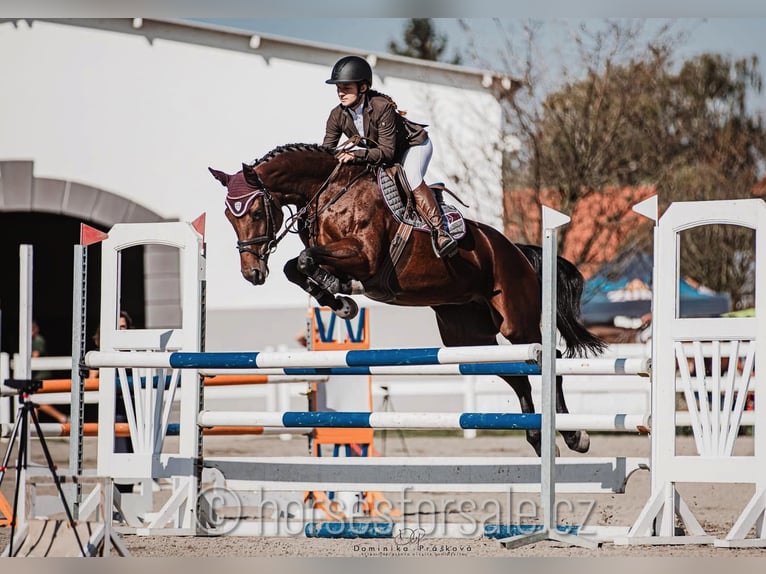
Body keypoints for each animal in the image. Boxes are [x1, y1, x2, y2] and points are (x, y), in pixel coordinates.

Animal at [210, 145, 608, 460]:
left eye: (256, 212)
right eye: (229, 217)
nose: (252, 273)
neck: (331, 192)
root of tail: (518, 250)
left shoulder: (365, 256)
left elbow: (307, 260)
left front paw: (342, 297)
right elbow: (297, 266)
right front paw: (339, 301)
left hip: (516, 319)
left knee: (549, 359)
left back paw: (575, 435)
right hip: (466, 336)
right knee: (517, 375)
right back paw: (539, 439)